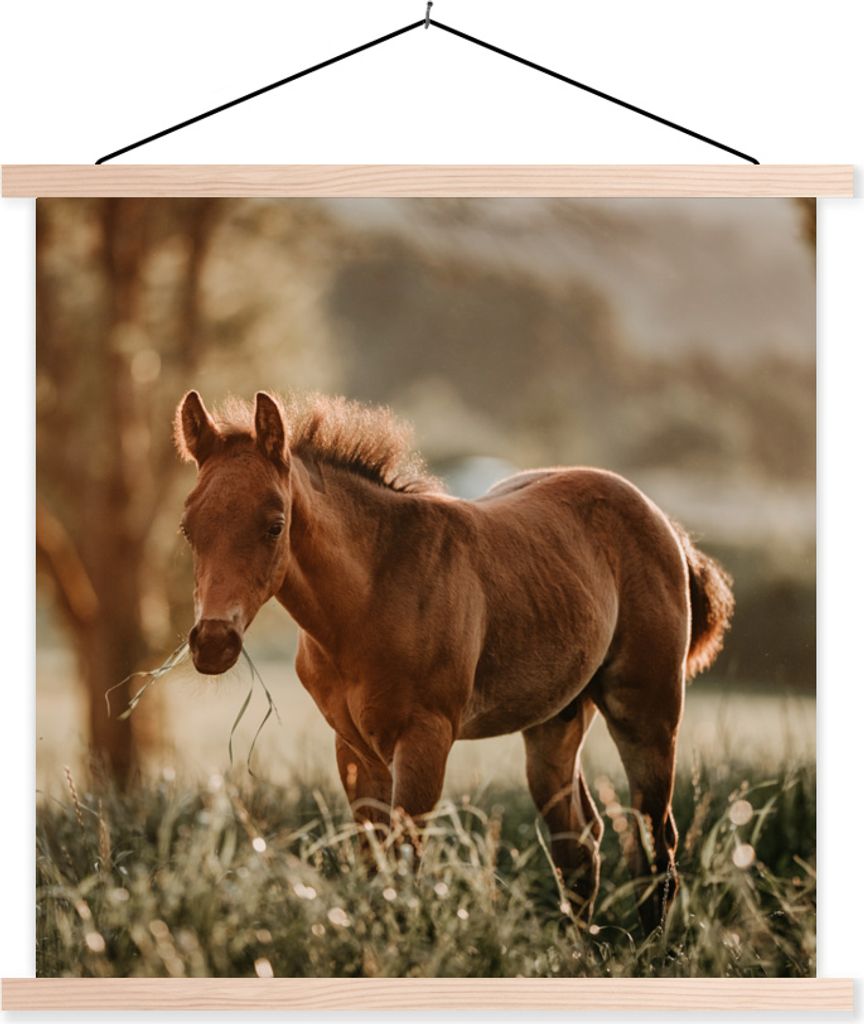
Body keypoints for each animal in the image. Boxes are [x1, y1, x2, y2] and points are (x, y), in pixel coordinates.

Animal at [175, 389, 733, 931]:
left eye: (275, 525)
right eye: (187, 528)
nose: (213, 643)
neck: (373, 592)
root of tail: (665, 524)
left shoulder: (426, 737)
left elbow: (404, 867)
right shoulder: (354, 748)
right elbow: (375, 867)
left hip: (647, 714)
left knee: (655, 846)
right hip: (556, 721)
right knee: (579, 849)